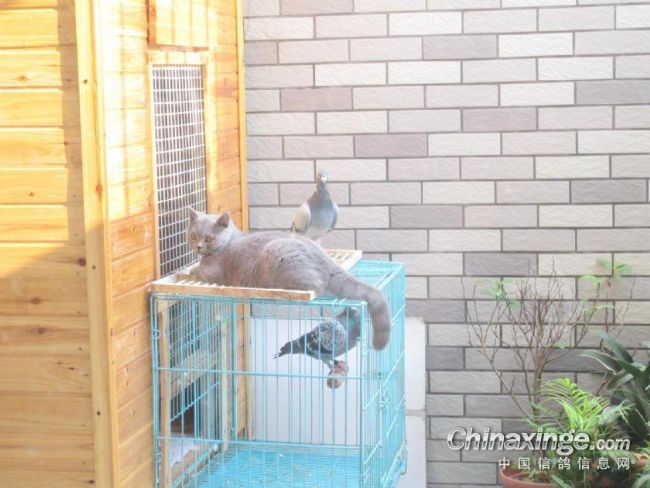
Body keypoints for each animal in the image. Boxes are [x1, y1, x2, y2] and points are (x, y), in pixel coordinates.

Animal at [187, 208, 390, 350]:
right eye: (193, 235)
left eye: (209, 239)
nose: (198, 247)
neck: (229, 242)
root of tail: (324, 259)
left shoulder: (212, 272)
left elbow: (200, 269)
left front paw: (191, 269)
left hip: (277, 251)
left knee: (316, 285)